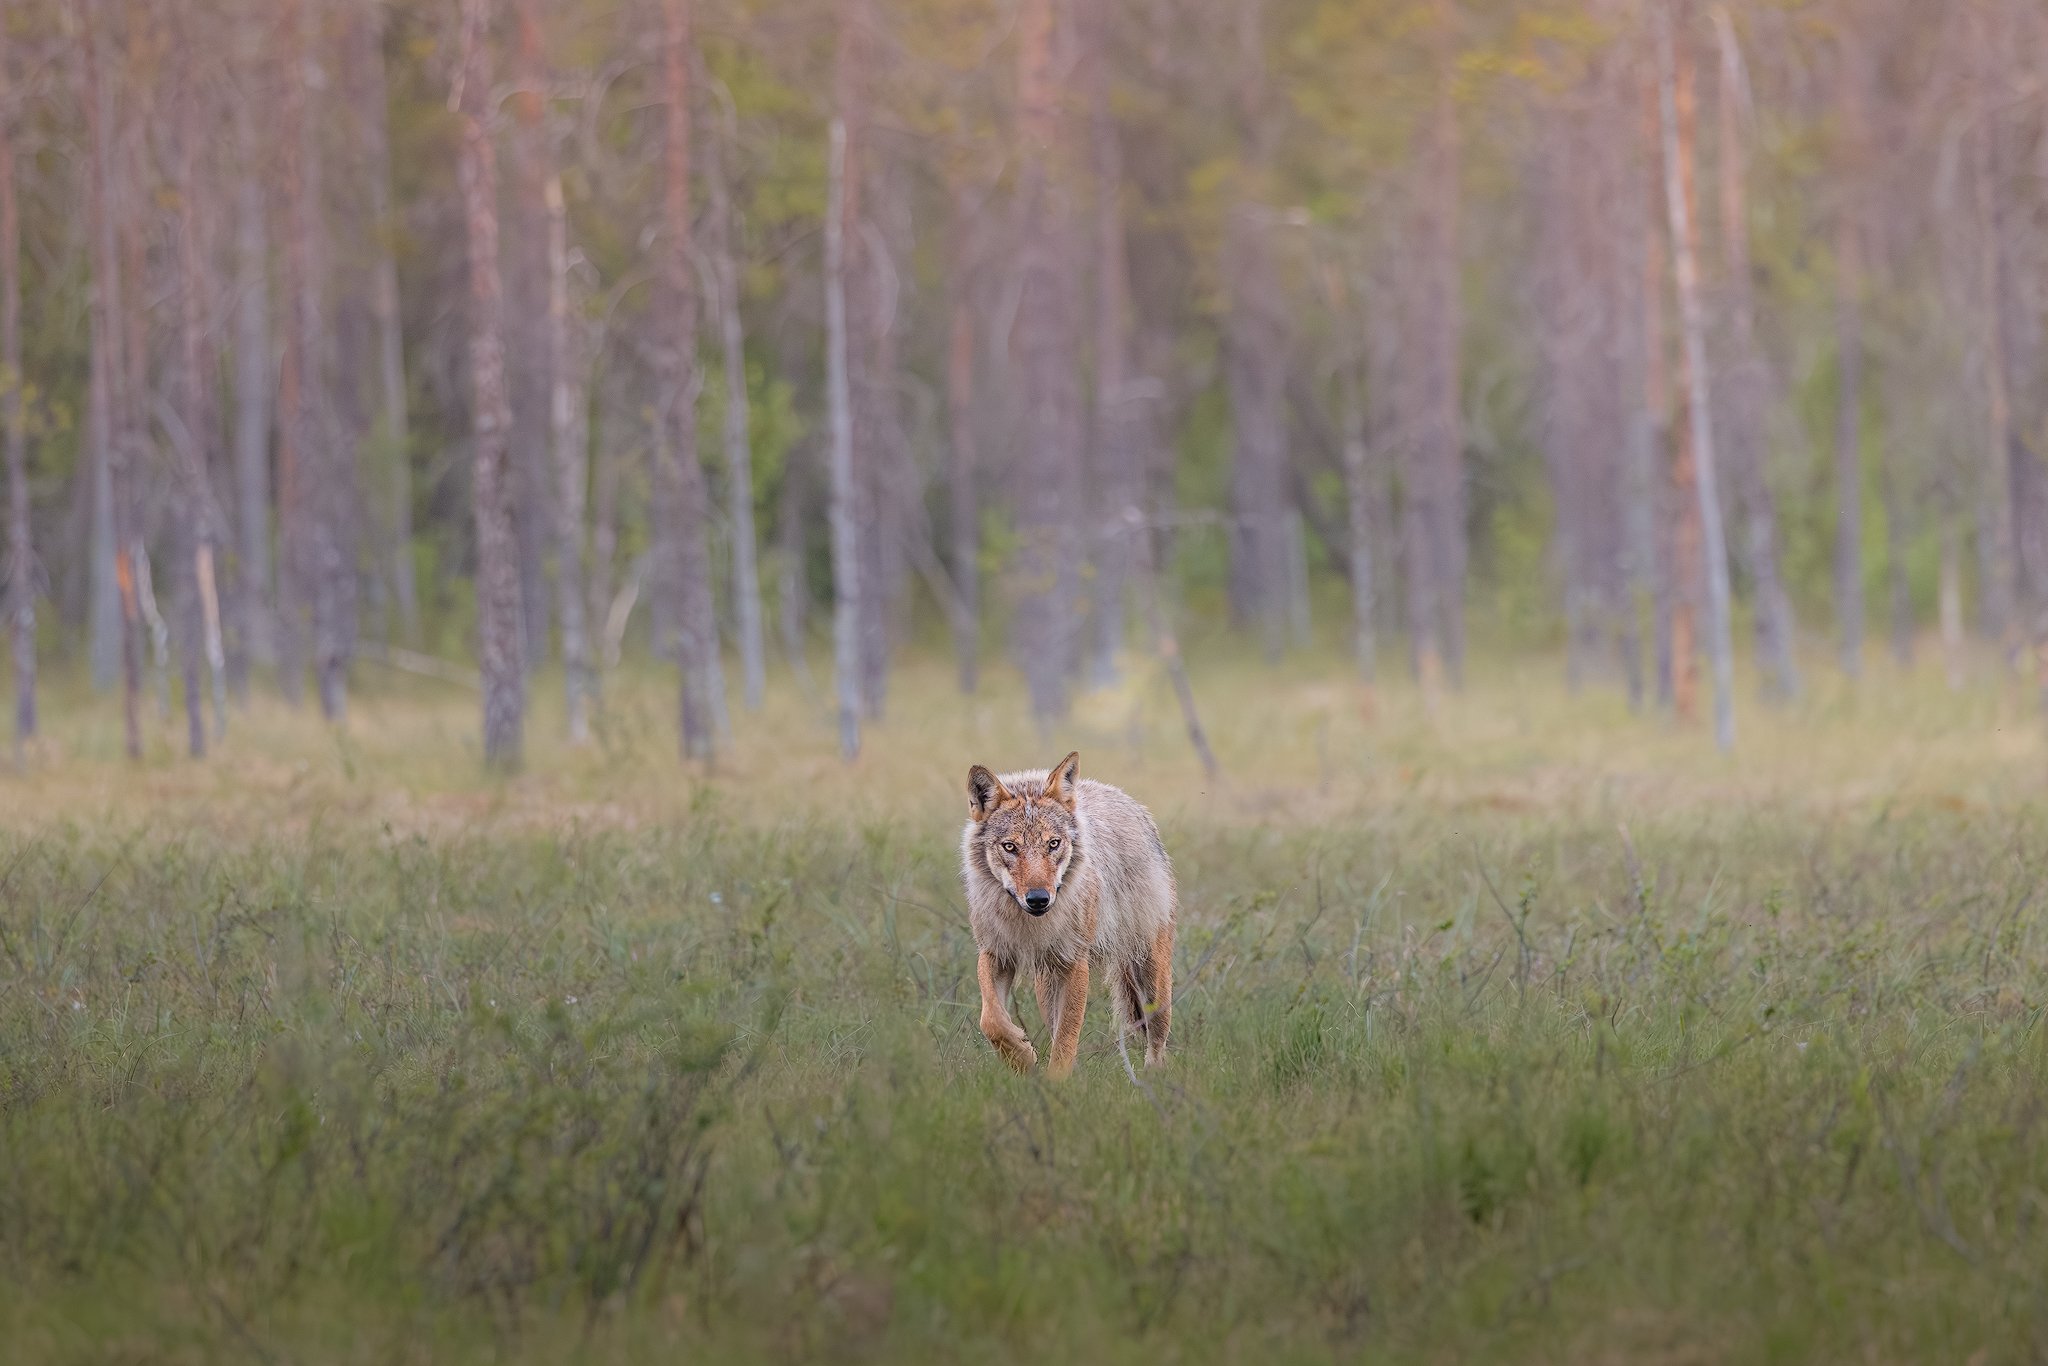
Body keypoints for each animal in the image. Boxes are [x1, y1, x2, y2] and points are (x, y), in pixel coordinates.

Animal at [961, 751, 1176, 1077]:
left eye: (1053, 844)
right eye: (1010, 847)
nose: (1038, 899)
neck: (1028, 926)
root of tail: (1126, 800)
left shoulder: (1074, 962)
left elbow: (1066, 1038)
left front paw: (1056, 1083)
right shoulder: (996, 953)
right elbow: (992, 1020)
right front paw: (1023, 1057)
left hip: (1150, 976)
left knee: (1157, 1041)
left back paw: (1154, 1078)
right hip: (1046, 983)